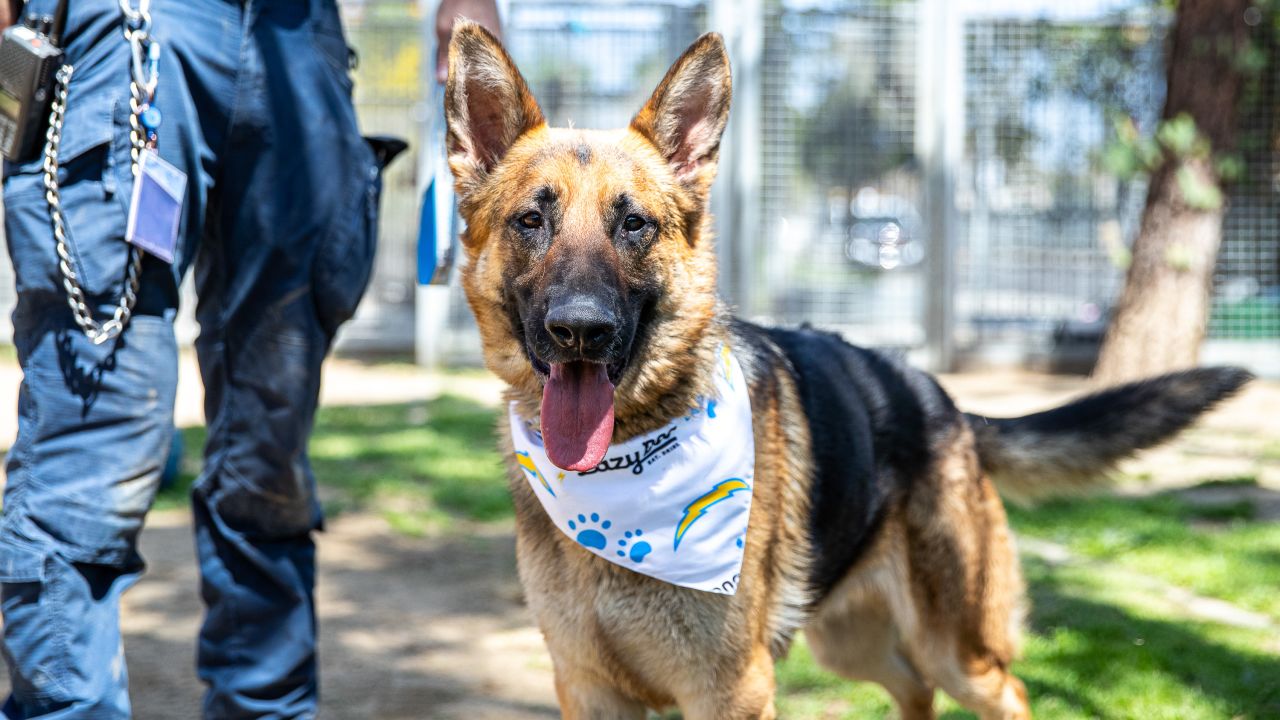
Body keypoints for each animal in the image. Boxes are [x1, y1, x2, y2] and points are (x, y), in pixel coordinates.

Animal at [442, 22, 1249, 717]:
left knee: (1003, 689)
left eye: (633, 223)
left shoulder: (731, 690)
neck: (624, 464)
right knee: (914, 689)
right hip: (847, 641)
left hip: (953, 644)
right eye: (531, 221)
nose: (580, 329)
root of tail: (935, 397)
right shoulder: (587, 686)